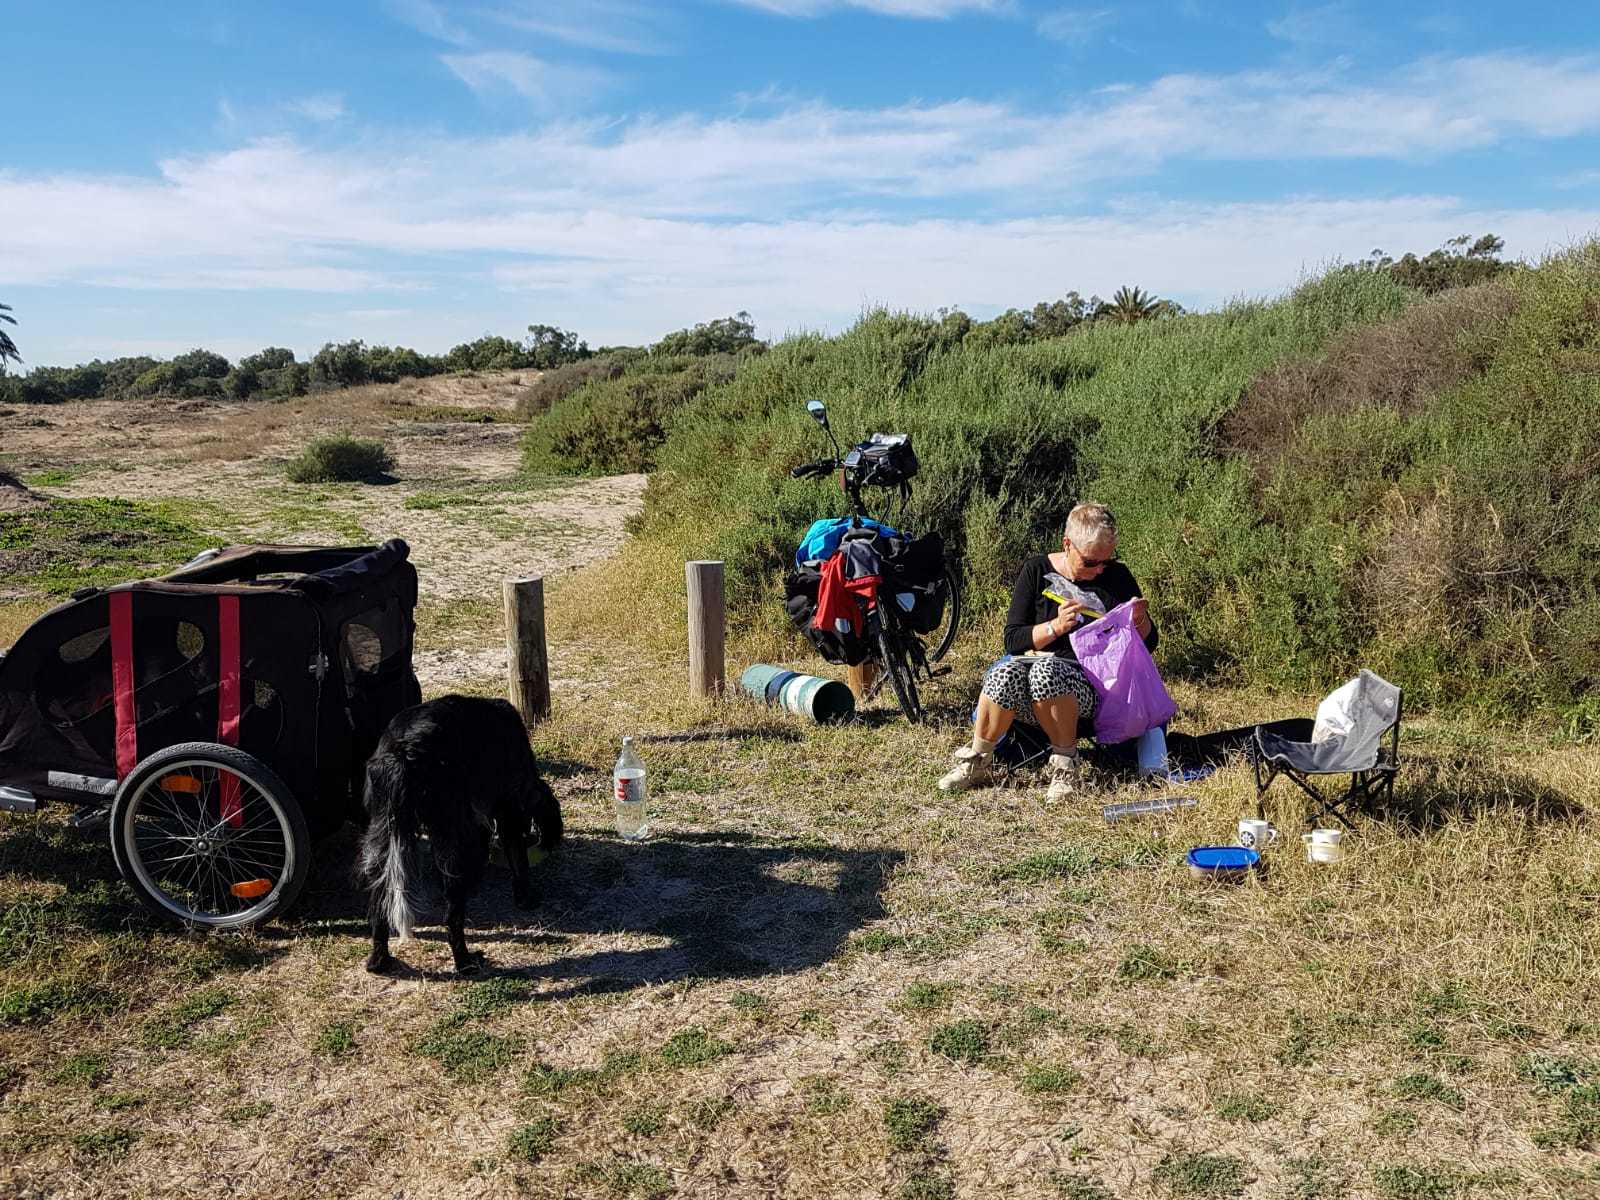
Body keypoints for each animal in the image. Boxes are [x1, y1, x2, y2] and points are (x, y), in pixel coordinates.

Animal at [361, 694, 563, 979]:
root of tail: (403, 752)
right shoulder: (507, 808)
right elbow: (518, 858)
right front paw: (525, 896)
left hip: (382, 836)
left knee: (379, 907)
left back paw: (380, 961)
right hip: (449, 837)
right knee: (452, 917)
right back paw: (465, 962)